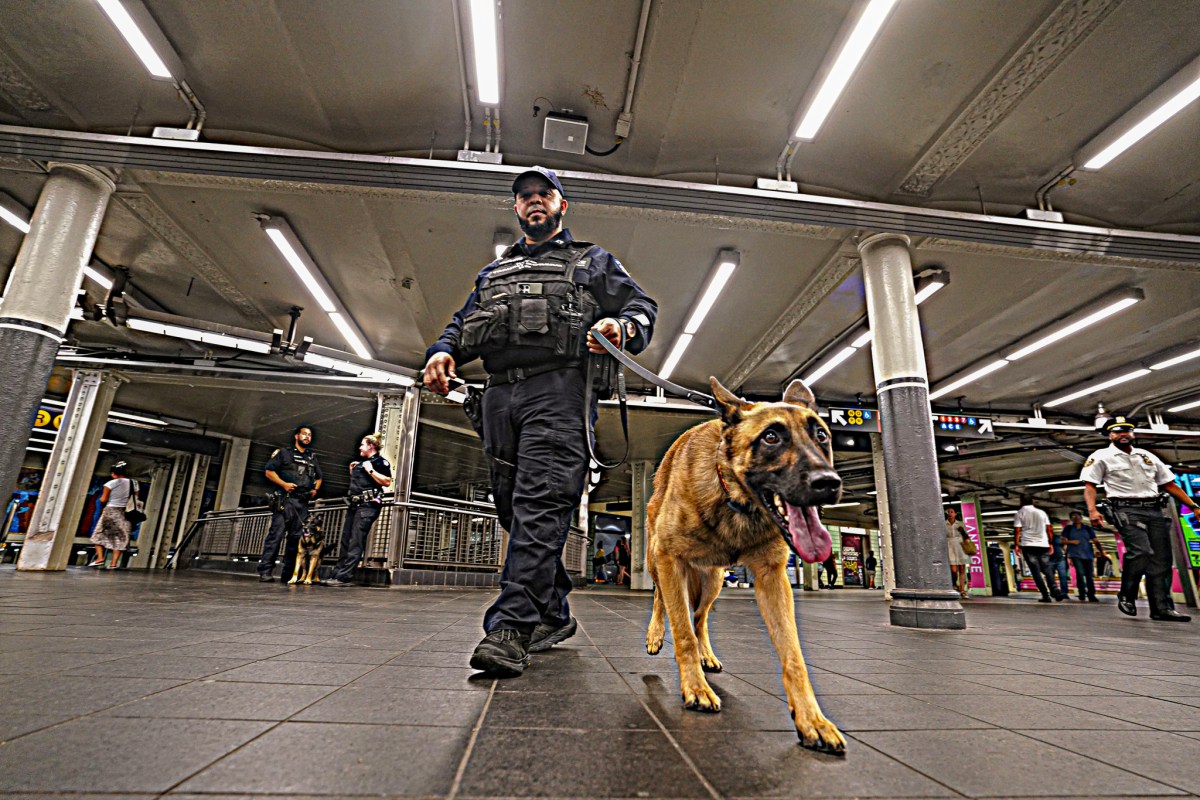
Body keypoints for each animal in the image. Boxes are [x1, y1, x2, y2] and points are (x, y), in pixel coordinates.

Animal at [648, 379, 844, 753]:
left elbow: (793, 656)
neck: (734, 500)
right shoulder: (669, 559)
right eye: (771, 437)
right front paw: (695, 688)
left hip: (713, 581)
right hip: (657, 560)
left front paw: (811, 719)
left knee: (700, 617)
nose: (828, 483)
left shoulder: (773, 580)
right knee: (662, 601)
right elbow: (682, 634)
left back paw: (707, 655)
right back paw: (655, 634)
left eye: (821, 436)